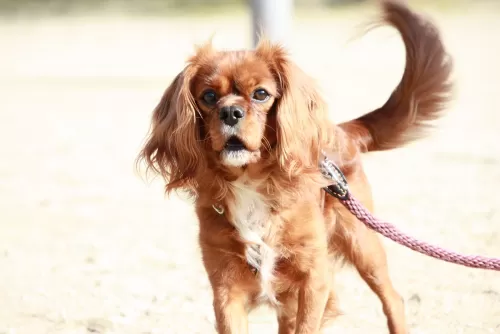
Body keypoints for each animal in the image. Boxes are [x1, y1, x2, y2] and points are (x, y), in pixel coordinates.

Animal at [137, 1, 454, 332]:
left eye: (261, 94)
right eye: (209, 97)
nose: (230, 112)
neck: (252, 183)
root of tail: (341, 132)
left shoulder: (314, 279)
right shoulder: (226, 289)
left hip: (363, 244)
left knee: (393, 299)